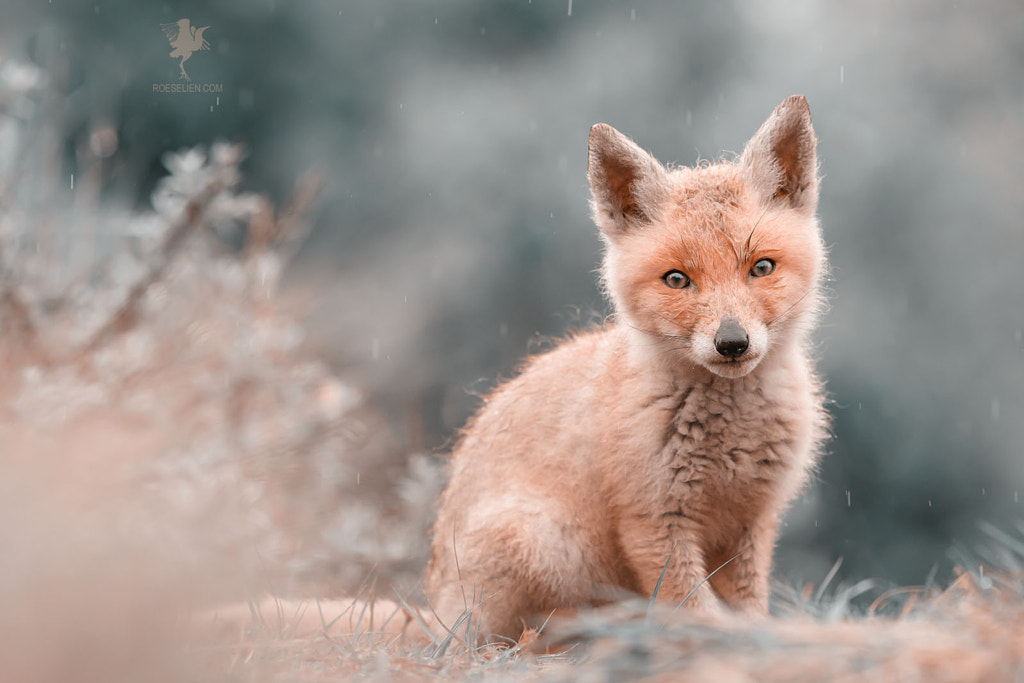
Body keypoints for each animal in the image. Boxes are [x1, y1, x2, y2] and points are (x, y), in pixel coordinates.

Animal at [419, 96, 827, 647]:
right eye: (677, 279)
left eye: (761, 268)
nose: (732, 343)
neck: (729, 442)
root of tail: (431, 607)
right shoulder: (653, 521)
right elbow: (696, 610)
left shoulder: (752, 522)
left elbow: (748, 609)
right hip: (542, 550)